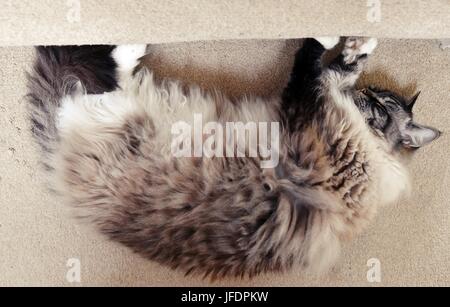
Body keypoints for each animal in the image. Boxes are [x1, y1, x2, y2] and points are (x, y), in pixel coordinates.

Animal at [27, 37, 440, 280]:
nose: (364, 98)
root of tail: (62, 157)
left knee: (92, 86)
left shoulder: (306, 117)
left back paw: (129, 48)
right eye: (373, 95)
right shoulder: (314, 108)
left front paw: (337, 45)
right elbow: (332, 70)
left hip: (120, 117)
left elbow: (311, 62)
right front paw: (357, 47)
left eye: (381, 107)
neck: (374, 156)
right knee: (101, 80)